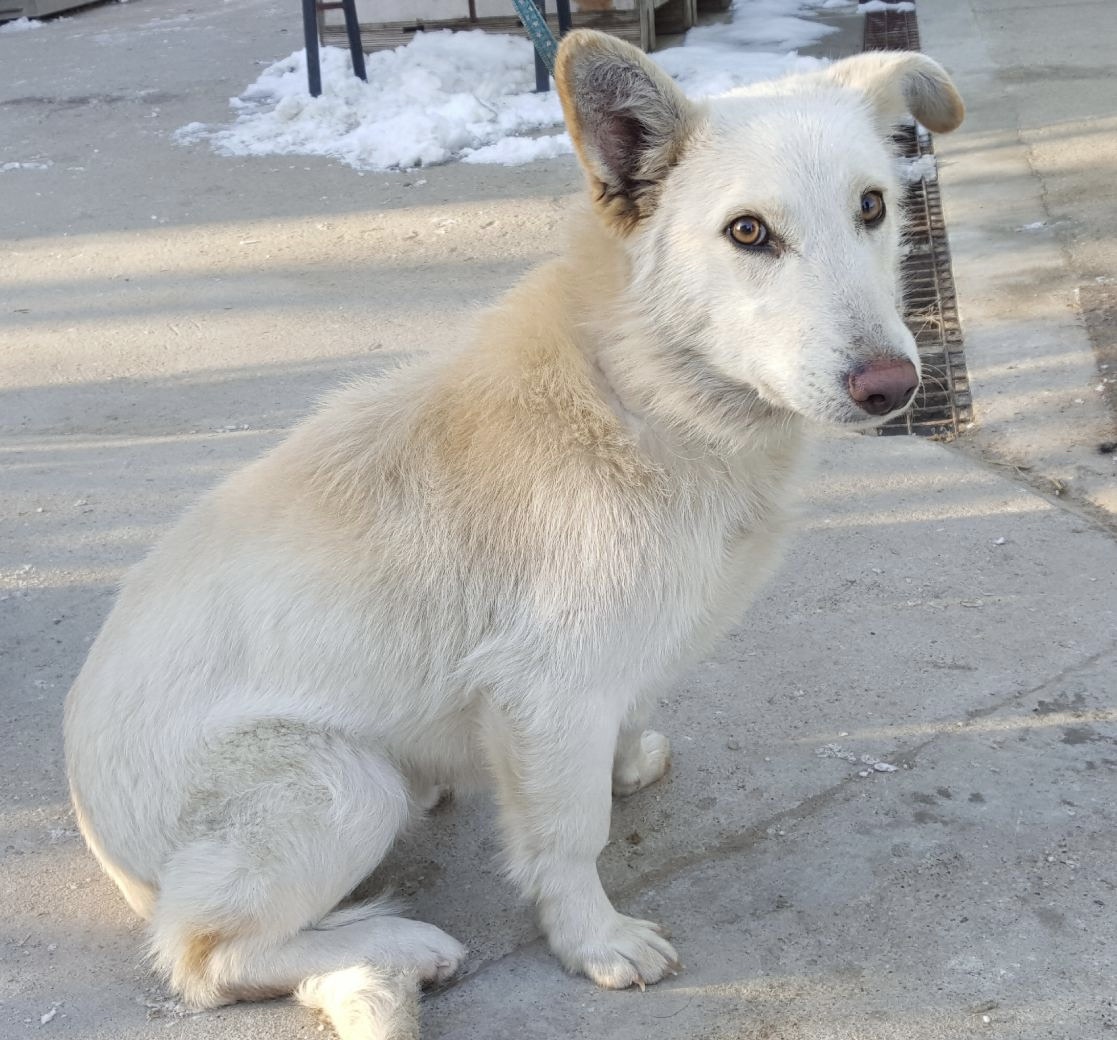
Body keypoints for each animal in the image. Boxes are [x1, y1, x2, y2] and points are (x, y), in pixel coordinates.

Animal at [64, 29, 963, 1040]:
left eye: (872, 207)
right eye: (747, 233)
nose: (893, 388)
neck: (640, 395)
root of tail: (110, 849)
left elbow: (617, 727)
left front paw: (624, 762)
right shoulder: (548, 689)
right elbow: (568, 839)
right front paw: (592, 941)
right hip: (338, 783)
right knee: (204, 957)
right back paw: (400, 943)